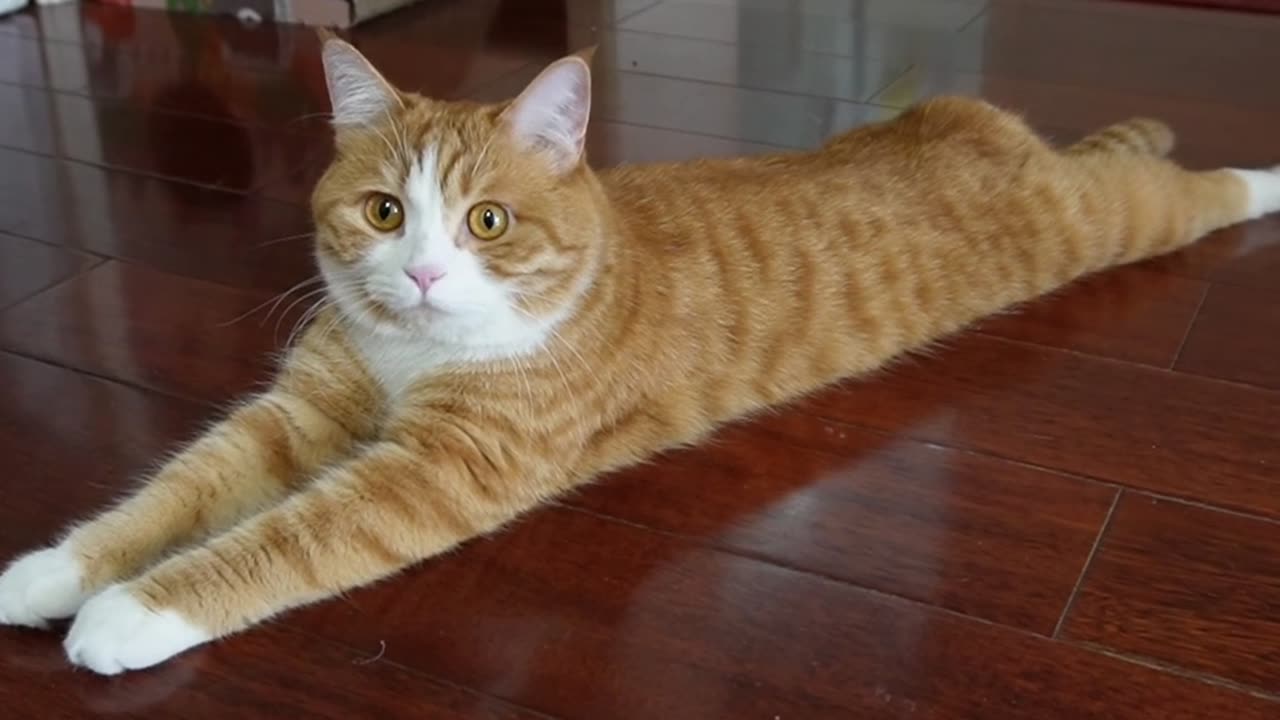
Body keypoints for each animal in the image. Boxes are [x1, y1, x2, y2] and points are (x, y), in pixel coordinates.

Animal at [2, 36, 1280, 671]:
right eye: (382, 213)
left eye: (486, 223)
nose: (421, 275)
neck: (420, 350)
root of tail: (971, 123)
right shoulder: (304, 406)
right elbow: (181, 489)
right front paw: (56, 572)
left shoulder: (443, 470)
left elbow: (286, 537)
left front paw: (130, 614)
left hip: (1096, 223)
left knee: (1173, 190)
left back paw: (1262, 180)